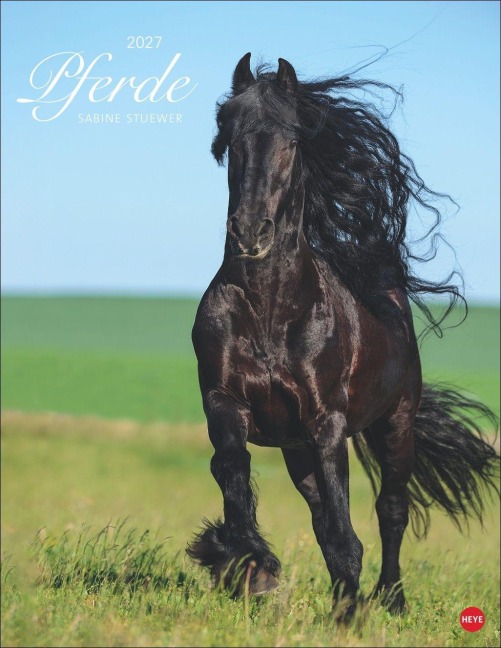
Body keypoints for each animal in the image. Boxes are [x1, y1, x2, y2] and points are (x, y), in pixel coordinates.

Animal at [187, 53, 499, 618]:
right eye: (230, 139)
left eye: (291, 142)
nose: (250, 232)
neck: (270, 311)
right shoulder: (225, 403)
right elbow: (234, 472)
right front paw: (246, 565)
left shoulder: (326, 422)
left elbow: (344, 528)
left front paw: (348, 612)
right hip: (296, 449)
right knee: (319, 511)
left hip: (395, 424)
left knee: (391, 509)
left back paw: (390, 599)